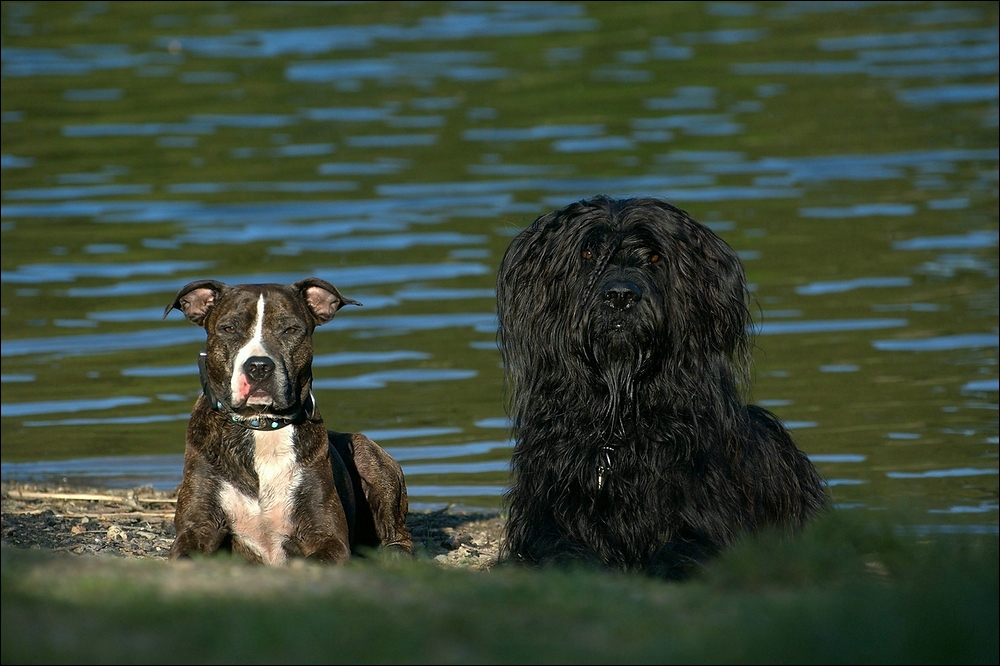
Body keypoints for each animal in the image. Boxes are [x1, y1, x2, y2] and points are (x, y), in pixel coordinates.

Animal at [496, 196, 832, 576]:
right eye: (587, 253)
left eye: (656, 257)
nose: (620, 296)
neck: (619, 428)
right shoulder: (547, 515)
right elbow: (560, 549)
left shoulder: (707, 515)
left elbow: (686, 548)